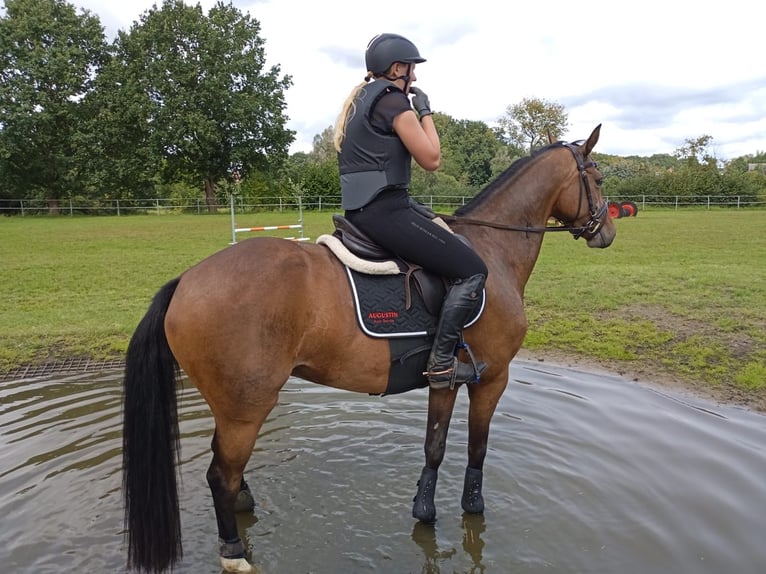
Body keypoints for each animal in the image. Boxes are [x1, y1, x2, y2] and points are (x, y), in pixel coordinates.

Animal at [124, 124, 616, 572]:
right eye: (597, 177)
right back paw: (233, 552)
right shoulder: (491, 378)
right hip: (247, 407)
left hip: (231, 407)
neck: (494, 250)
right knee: (219, 475)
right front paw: (472, 508)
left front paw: (424, 510)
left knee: (226, 468)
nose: (607, 231)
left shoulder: (444, 382)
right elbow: (476, 447)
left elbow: (434, 446)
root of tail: (186, 280)